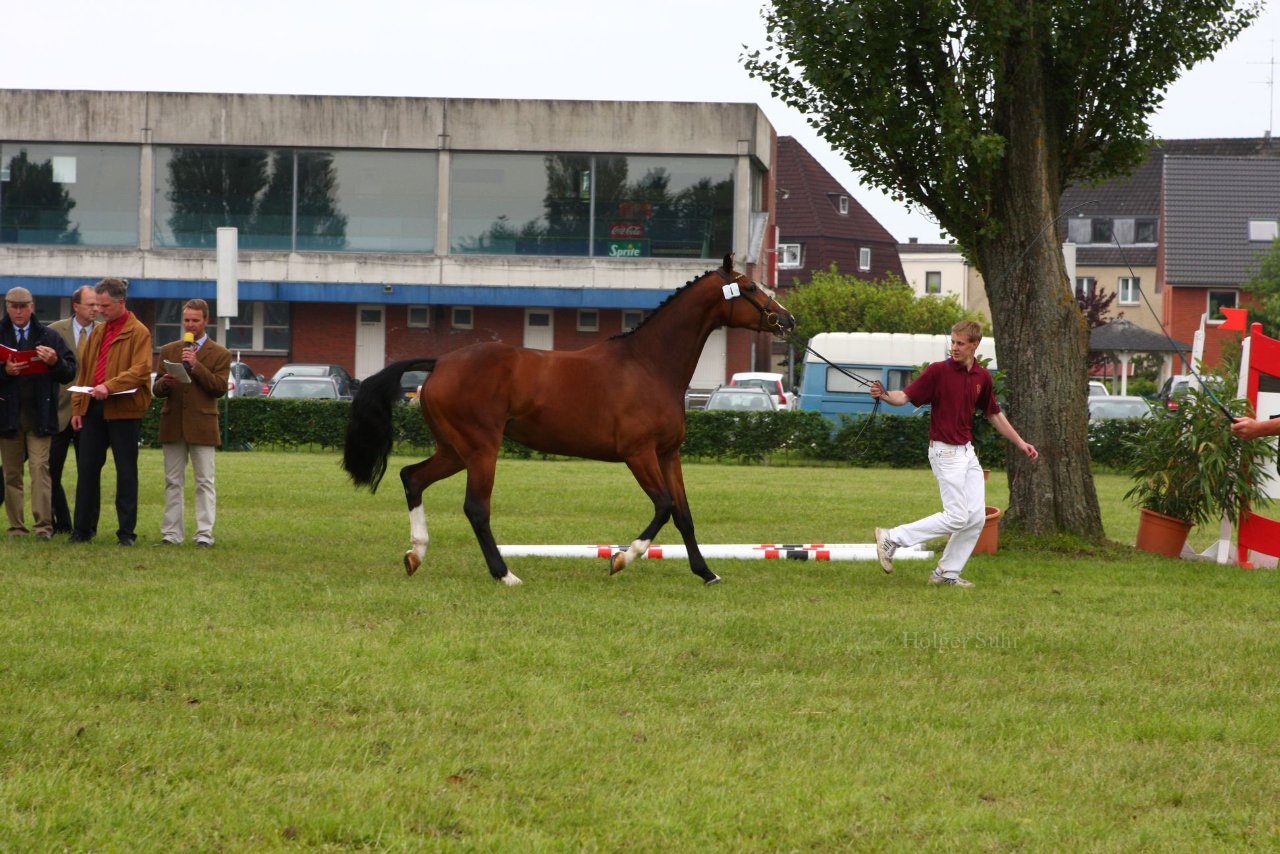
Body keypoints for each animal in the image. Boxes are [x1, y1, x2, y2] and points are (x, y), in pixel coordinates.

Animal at [345, 253, 793, 583]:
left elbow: (684, 514)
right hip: (481, 449)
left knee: (412, 478)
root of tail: (440, 363)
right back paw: (504, 574)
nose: (787, 319)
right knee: (475, 508)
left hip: (456, 450)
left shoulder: (669, 454)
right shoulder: (638, 454)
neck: (649, 364)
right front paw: (620, 559)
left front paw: (706, 572)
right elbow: (664, 506)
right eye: (749, 288)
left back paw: (416, 555)